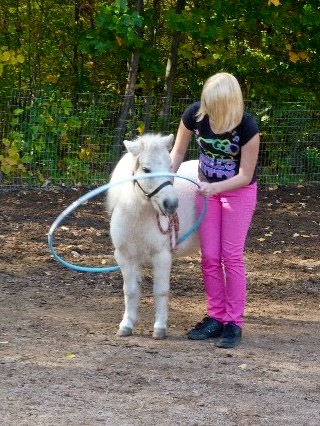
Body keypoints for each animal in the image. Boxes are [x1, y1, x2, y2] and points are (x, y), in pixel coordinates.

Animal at [107, 133, 200, 340]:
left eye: (170, 166)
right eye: (146, 169)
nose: (171, 204)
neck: (138, 218)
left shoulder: (162, 257)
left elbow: (160, 291)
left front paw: (160, 328)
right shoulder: (125, 257)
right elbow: (131, 291)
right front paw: (126, 325)